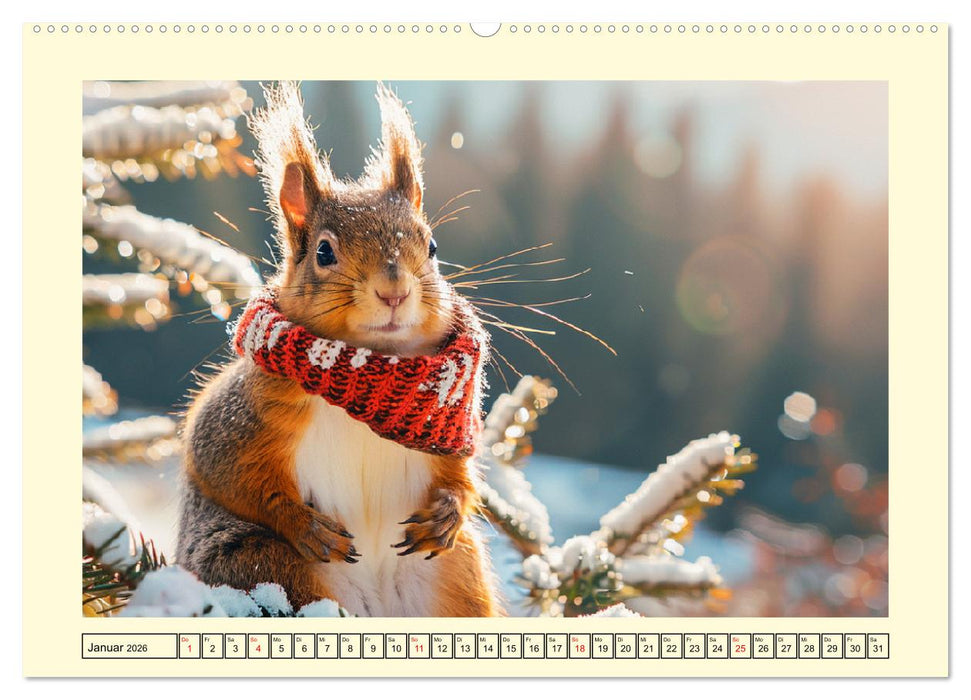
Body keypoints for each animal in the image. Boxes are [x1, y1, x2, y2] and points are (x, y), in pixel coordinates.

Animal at [176, 82, 500, 617]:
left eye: (432, 246)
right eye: (324, 252)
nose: (394, 291)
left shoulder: (452, 432)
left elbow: (462, 474)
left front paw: (447, 514)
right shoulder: (240, 418)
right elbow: (227, 473)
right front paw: (303, 524)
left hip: (457, 578)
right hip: (264, 566)